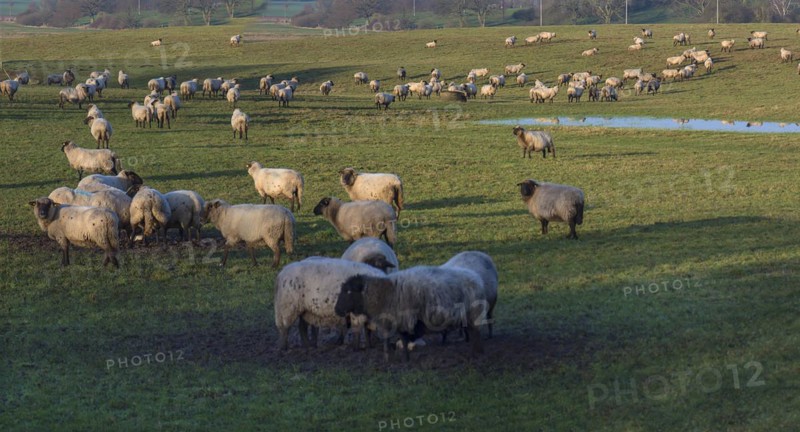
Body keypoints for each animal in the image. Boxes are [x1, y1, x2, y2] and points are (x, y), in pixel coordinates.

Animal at [334, 266, 485, 361]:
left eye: (348, 291)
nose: (337, 310)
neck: (384, 293)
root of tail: (477, 280)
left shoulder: (401, 319)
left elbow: (398, 339)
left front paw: (391, 359)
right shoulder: (398, 320)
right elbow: (402, 339)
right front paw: (404, 358)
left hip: (473, 314)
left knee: (476, 334)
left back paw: (476, 354)